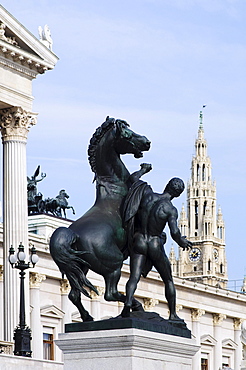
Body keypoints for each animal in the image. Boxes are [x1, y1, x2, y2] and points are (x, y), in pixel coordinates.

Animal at [49, 118, 151, 320]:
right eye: (127, 133)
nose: (146, 141)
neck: (113, 184)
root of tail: (71, 233)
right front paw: (144, 168)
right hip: (113, 265)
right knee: (110, 293)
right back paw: (135, 307)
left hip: (80, 267)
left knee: (74, 294)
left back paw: (88, 317)